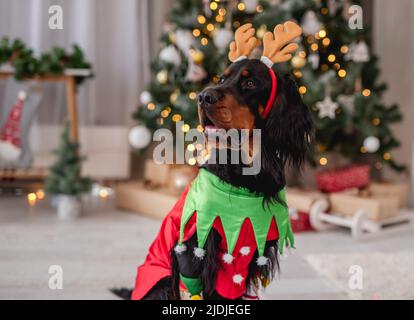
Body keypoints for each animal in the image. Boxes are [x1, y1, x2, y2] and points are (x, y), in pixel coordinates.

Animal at [133, 21, 314, 300]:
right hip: (161, 285)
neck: (246, 176)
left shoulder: (253, 249)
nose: (202, 96)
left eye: (250, 82)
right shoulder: (195, 244)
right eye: (222, 78)